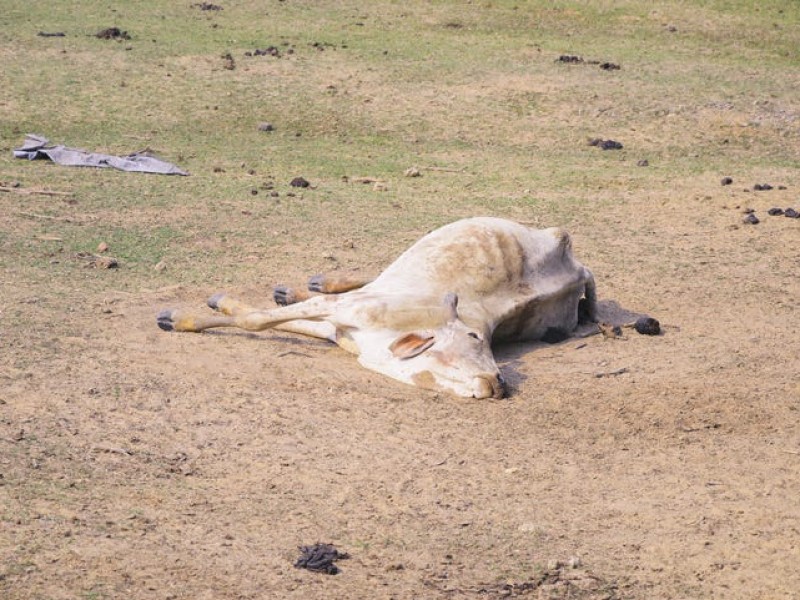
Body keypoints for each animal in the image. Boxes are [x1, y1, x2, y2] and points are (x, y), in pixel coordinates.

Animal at [156, 216, 592, 398]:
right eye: (473, 337)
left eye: (485, 340)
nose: (498, 382)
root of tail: (576, 264)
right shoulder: (345, 312)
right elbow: (257, 320)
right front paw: (183, 317)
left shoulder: (339, 323)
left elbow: (263, 320)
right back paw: (303, 286)